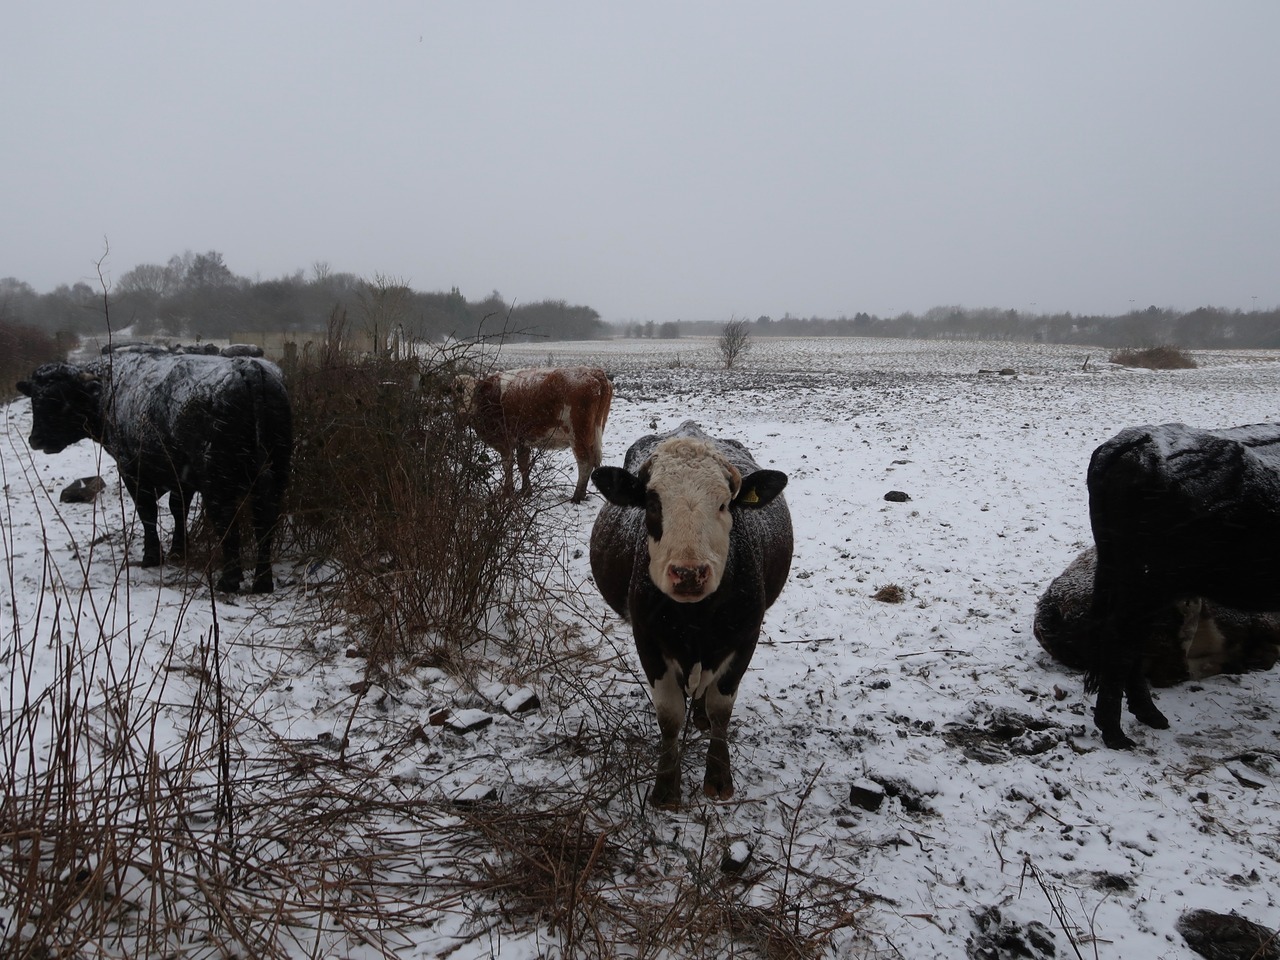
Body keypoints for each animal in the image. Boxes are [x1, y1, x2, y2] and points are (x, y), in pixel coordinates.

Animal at [17, 351, 293, 593]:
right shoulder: (182, 478)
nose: (36, 439)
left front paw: (151, 556)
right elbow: (178, 509)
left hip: (218, 484)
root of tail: (247, 367)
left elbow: (147, 511)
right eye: (35, 398)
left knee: (229, 524)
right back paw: (263, 582)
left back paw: (229, 581)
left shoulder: (131, 471)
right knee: (265, 523)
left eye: (61, 399)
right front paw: (178, 551)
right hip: (277, 473)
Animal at [454, 366, 612, 503]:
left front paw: (507, 493)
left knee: (585, 462)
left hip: (578, 435)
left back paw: (577, 496)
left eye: (475, 393)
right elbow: (523, 464)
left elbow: (508, 465)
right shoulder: (522, 440)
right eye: (456, 394)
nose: (462, 413)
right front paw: (525, 491)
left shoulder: (505, 441)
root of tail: (593, 372)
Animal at [589, 421, 792, 807]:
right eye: (653, 503)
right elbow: (669, 715)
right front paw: (666, 787)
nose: (688, 573)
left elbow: (720, 707)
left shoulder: (745, 635)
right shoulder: (648, 639)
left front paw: (718, 777)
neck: (696, 619)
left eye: (725, 504)